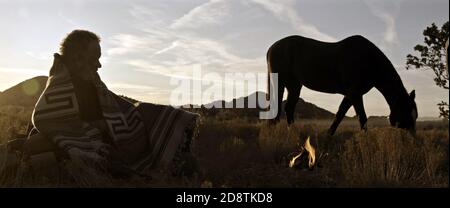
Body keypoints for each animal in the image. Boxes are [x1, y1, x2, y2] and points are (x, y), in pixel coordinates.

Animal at [268, 35, 418, 135]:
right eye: (406, 112)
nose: (412, 137)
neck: (368, 60)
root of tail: (272, 48)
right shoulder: (355, 94)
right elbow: (362, 117)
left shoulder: (351, 95)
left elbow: (340, 114)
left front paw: (329, 134)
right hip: (280, 82)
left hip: (294, 85)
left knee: (289, 108)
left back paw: (292, 132)